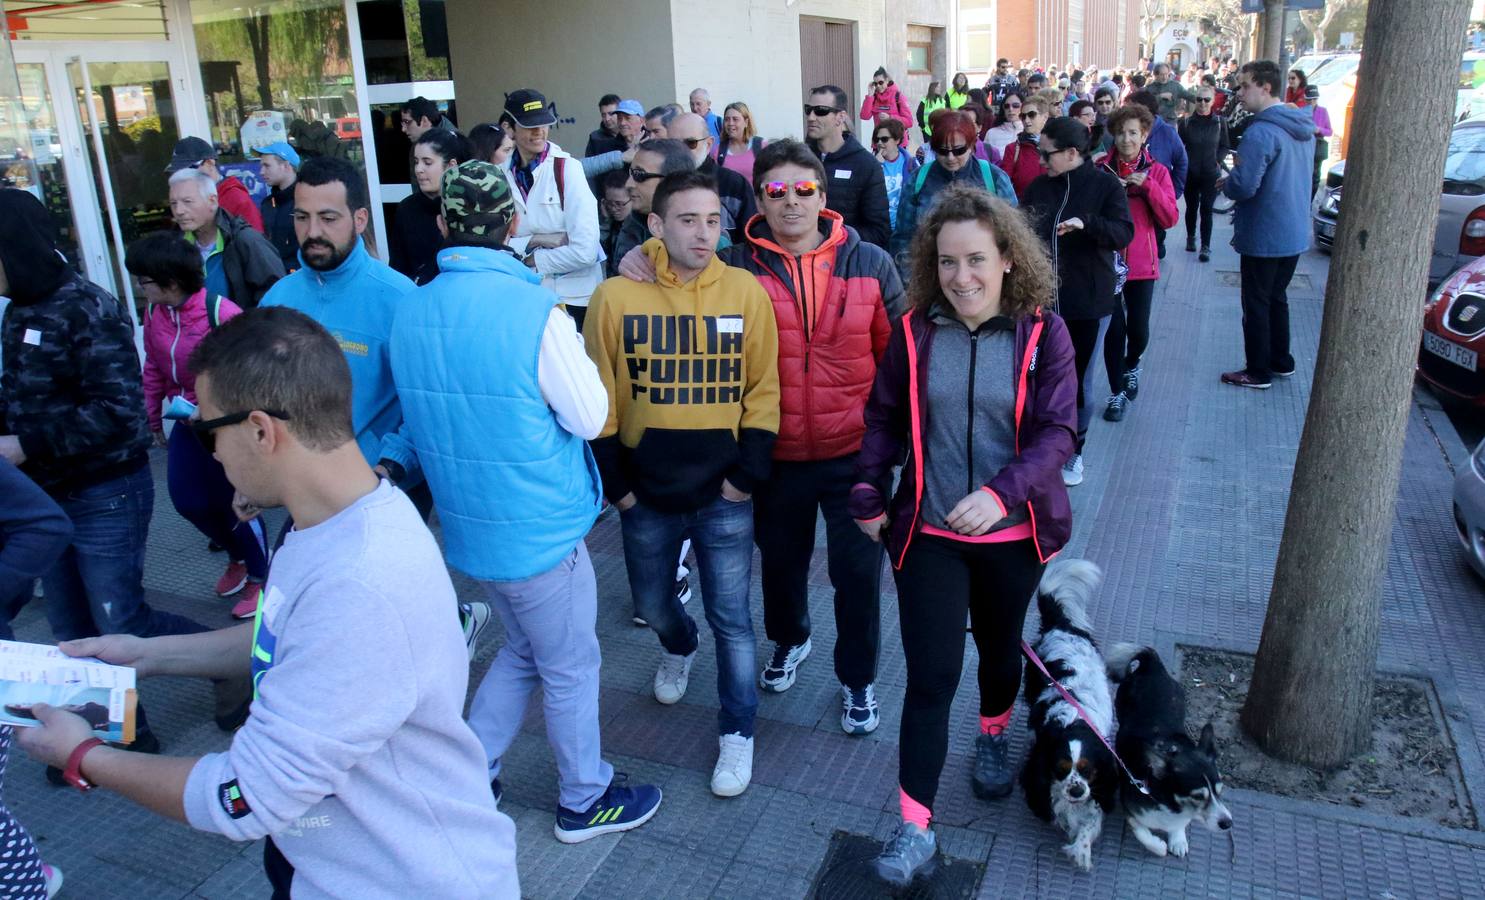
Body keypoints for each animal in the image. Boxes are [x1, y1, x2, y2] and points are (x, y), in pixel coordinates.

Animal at [1021, 561, 1116, 873]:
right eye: (1061, 768)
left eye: (1088, 769)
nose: (1075, 790)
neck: (1074, 721)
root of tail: (1061, 626)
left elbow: (1091, 820)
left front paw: (1081, 848)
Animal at [1110, 647, 1235, 861]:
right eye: (1198, 797)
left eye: (1220, 791)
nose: (1227, 823)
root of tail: (1152, 665)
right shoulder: (1131, 810)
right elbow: (1142, 832)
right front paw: (1158, 846)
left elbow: (1179, 825)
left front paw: (1177, 840)